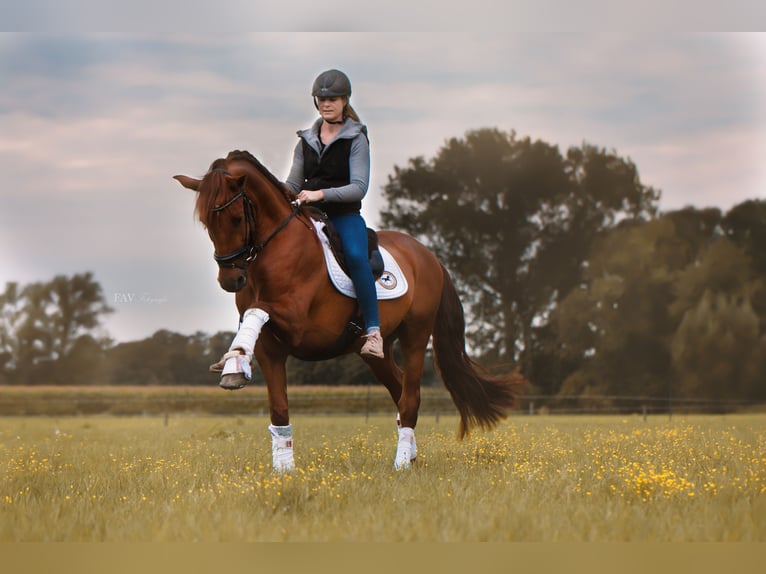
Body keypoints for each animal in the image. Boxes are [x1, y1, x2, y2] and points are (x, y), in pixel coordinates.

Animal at [174, 150, 525, 471]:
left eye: (235, 219)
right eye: (206, 224)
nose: (230, 280)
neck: (275, 248)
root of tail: (429, 256)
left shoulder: (296, 323)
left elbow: (257, 311)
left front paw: (234, 362)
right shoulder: (271, 349)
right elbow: (279, 408)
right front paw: (283, 470)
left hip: (415, 335)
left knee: (410, 397)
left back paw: (401, 464)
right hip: (377, 351)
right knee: (400, 392)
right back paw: (410, 455)